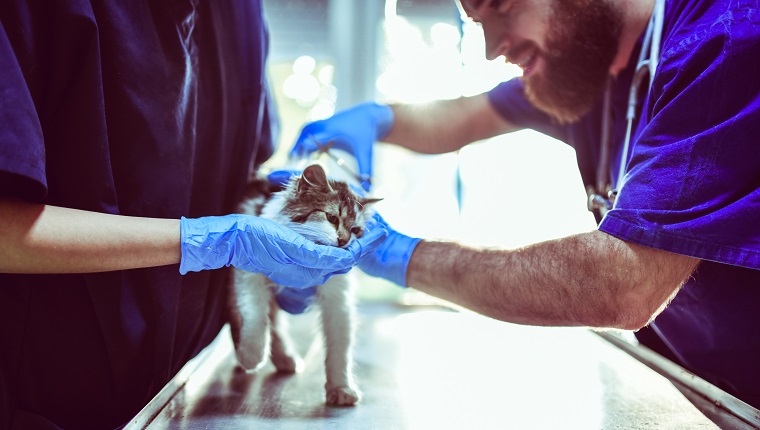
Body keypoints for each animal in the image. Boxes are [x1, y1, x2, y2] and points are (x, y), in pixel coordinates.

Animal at [226, 162, 380, 406]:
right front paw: (251, 357)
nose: (344, 241)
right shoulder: (248, 277)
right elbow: (256, 317)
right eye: (331, 218)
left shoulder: (338, 301)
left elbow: (340, 351)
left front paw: (341, 388)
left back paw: (286, 360)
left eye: (356, 230)